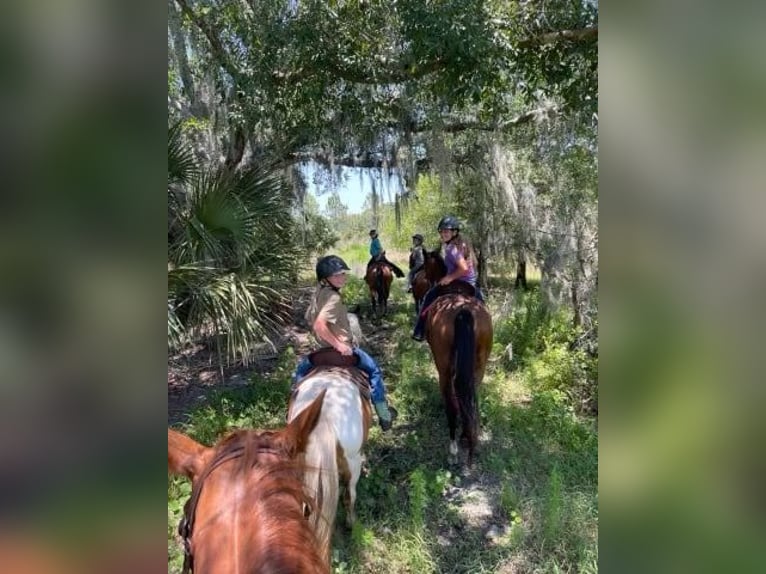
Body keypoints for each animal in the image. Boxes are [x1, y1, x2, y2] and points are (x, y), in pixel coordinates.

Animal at [420, 250, 492, 466]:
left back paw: (452, 450)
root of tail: (462, 309)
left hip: (443, 367)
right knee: (470, 397)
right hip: (479, 365)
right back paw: (467, 437)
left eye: (424, 265)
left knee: (451, 405)